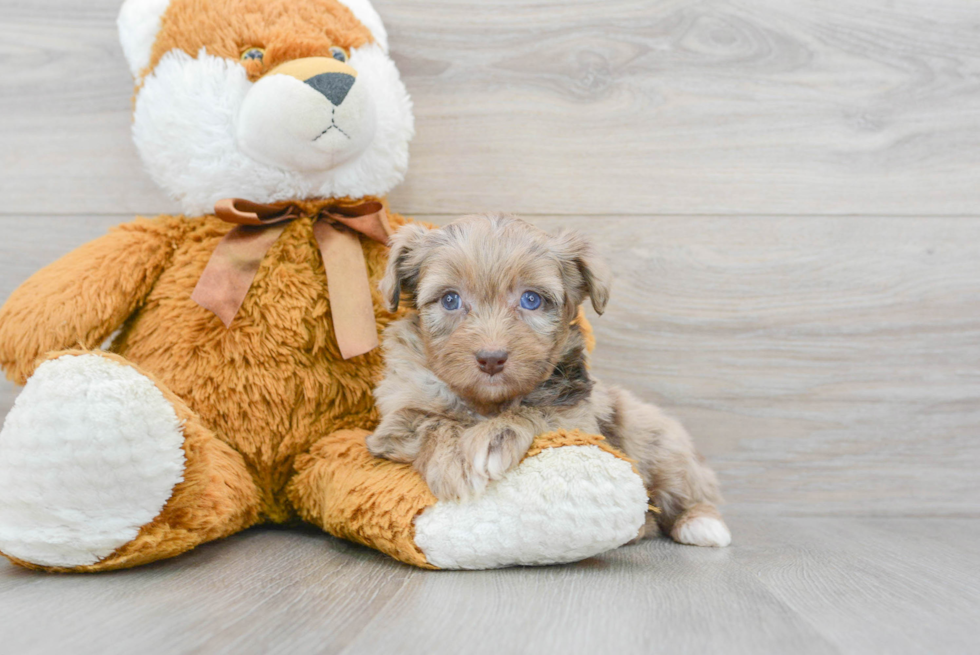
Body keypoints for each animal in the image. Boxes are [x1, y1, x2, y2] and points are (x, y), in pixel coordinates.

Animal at [372, 215, 732, 548]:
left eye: (531, 299)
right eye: (450, 300)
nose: (491, 358)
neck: (487, 403)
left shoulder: (577, 417)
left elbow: (539, 411)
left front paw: (493, 437)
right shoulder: (395, 418)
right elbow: (429, 421)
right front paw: (455, 460)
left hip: (660, 441)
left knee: (688, 486)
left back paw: (700, 523)